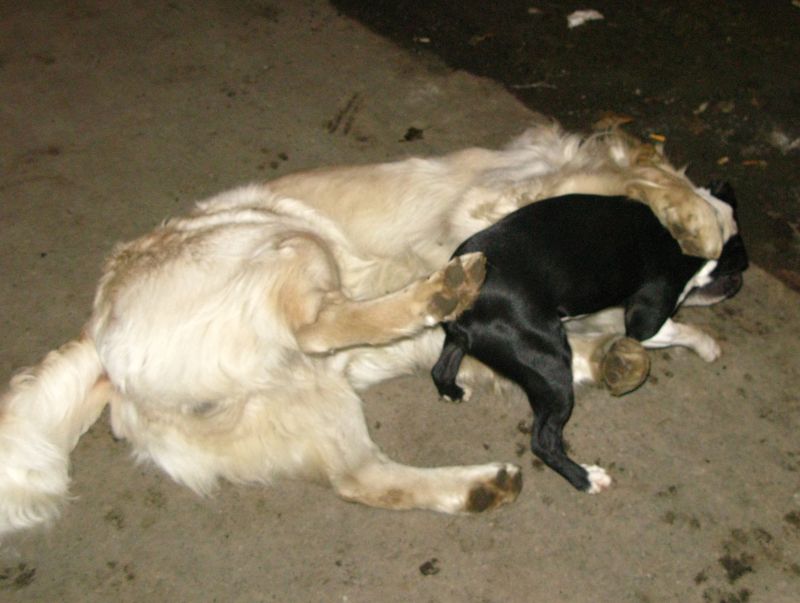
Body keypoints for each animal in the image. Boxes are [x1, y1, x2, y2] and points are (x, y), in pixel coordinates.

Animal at [431, 181, 748, 493]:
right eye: (736, 260)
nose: (741, 274)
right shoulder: (647, 324)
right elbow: (688, 331)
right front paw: (709, 347)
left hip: (463, 342)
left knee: (440, 369)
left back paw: (453, 391)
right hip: (552, 365)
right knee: (543, 442)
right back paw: (585, 478)